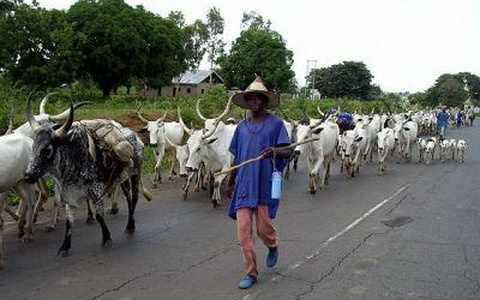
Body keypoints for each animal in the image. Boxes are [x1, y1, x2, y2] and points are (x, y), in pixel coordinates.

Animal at [23, 97, 142, 256]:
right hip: (123, 178)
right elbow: (69, 221)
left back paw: (130, 225)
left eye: (47, 150)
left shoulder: (97, 193)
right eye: (33, 147)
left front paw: (106, 238)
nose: (28, 176)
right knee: (128, 197)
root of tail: (135, 136)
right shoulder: (69, 195)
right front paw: (65, 246)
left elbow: (99, 217)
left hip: (135, 174)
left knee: (134, 198)